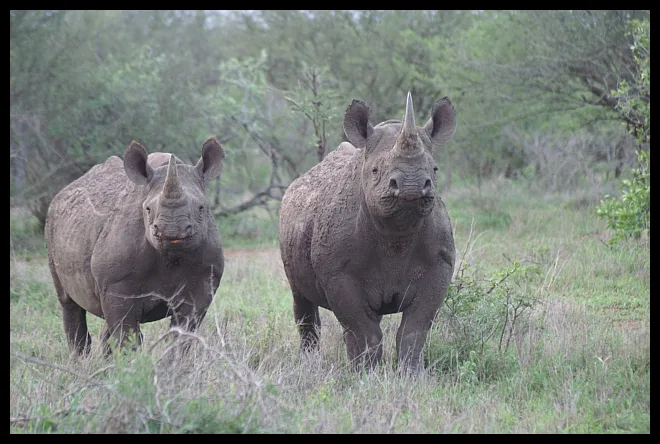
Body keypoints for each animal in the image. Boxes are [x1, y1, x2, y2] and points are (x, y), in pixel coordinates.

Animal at [45, 137, 226, 356]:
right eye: (147, 209)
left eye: (201, 208)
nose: (172, 230)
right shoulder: (117, 286)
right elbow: (127, 335)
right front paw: (133, 364)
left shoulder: (202, 283)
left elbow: (181, 335)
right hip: (52, 223)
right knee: (69, 302)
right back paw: (80, 360)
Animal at [279, 93, 456, 372]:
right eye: (375, 171)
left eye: (435, 169)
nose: (412, 185)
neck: (397, 231)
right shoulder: (338, 273)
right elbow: (362, 330)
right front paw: (364, 374)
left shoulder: (439, 264)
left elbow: (415, 328)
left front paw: (412, 374)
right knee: (301, 300)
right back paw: (309, 365)